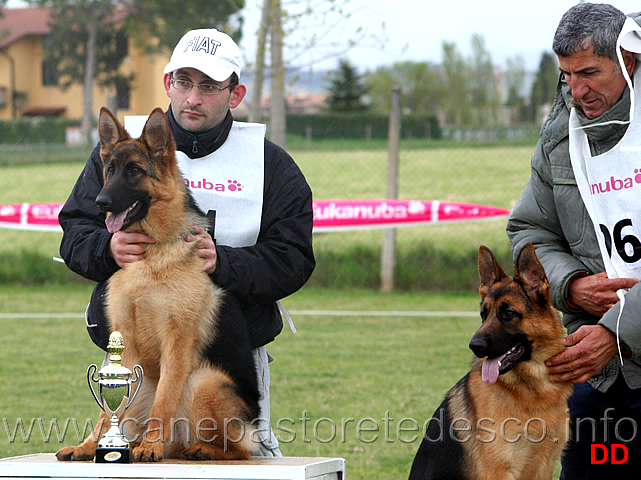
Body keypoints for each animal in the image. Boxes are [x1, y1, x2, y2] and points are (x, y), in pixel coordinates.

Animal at [55, 108, 260, 462]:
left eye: (134, 171)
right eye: (110, 170)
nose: (100, 201)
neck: (152, 254)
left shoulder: (176, 343)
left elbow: (164, 402)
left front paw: (151, 447)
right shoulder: (123, 344)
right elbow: (104, 413)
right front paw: (90, 446)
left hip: (202, 380)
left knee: (239, 450)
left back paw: (196, 449)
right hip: (144, 385)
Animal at [410, 246, 576, 478]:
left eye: (509, 313)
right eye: (483, 314)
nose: (474, 346)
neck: (531, 391)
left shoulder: (544, 466)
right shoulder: (499, 470)